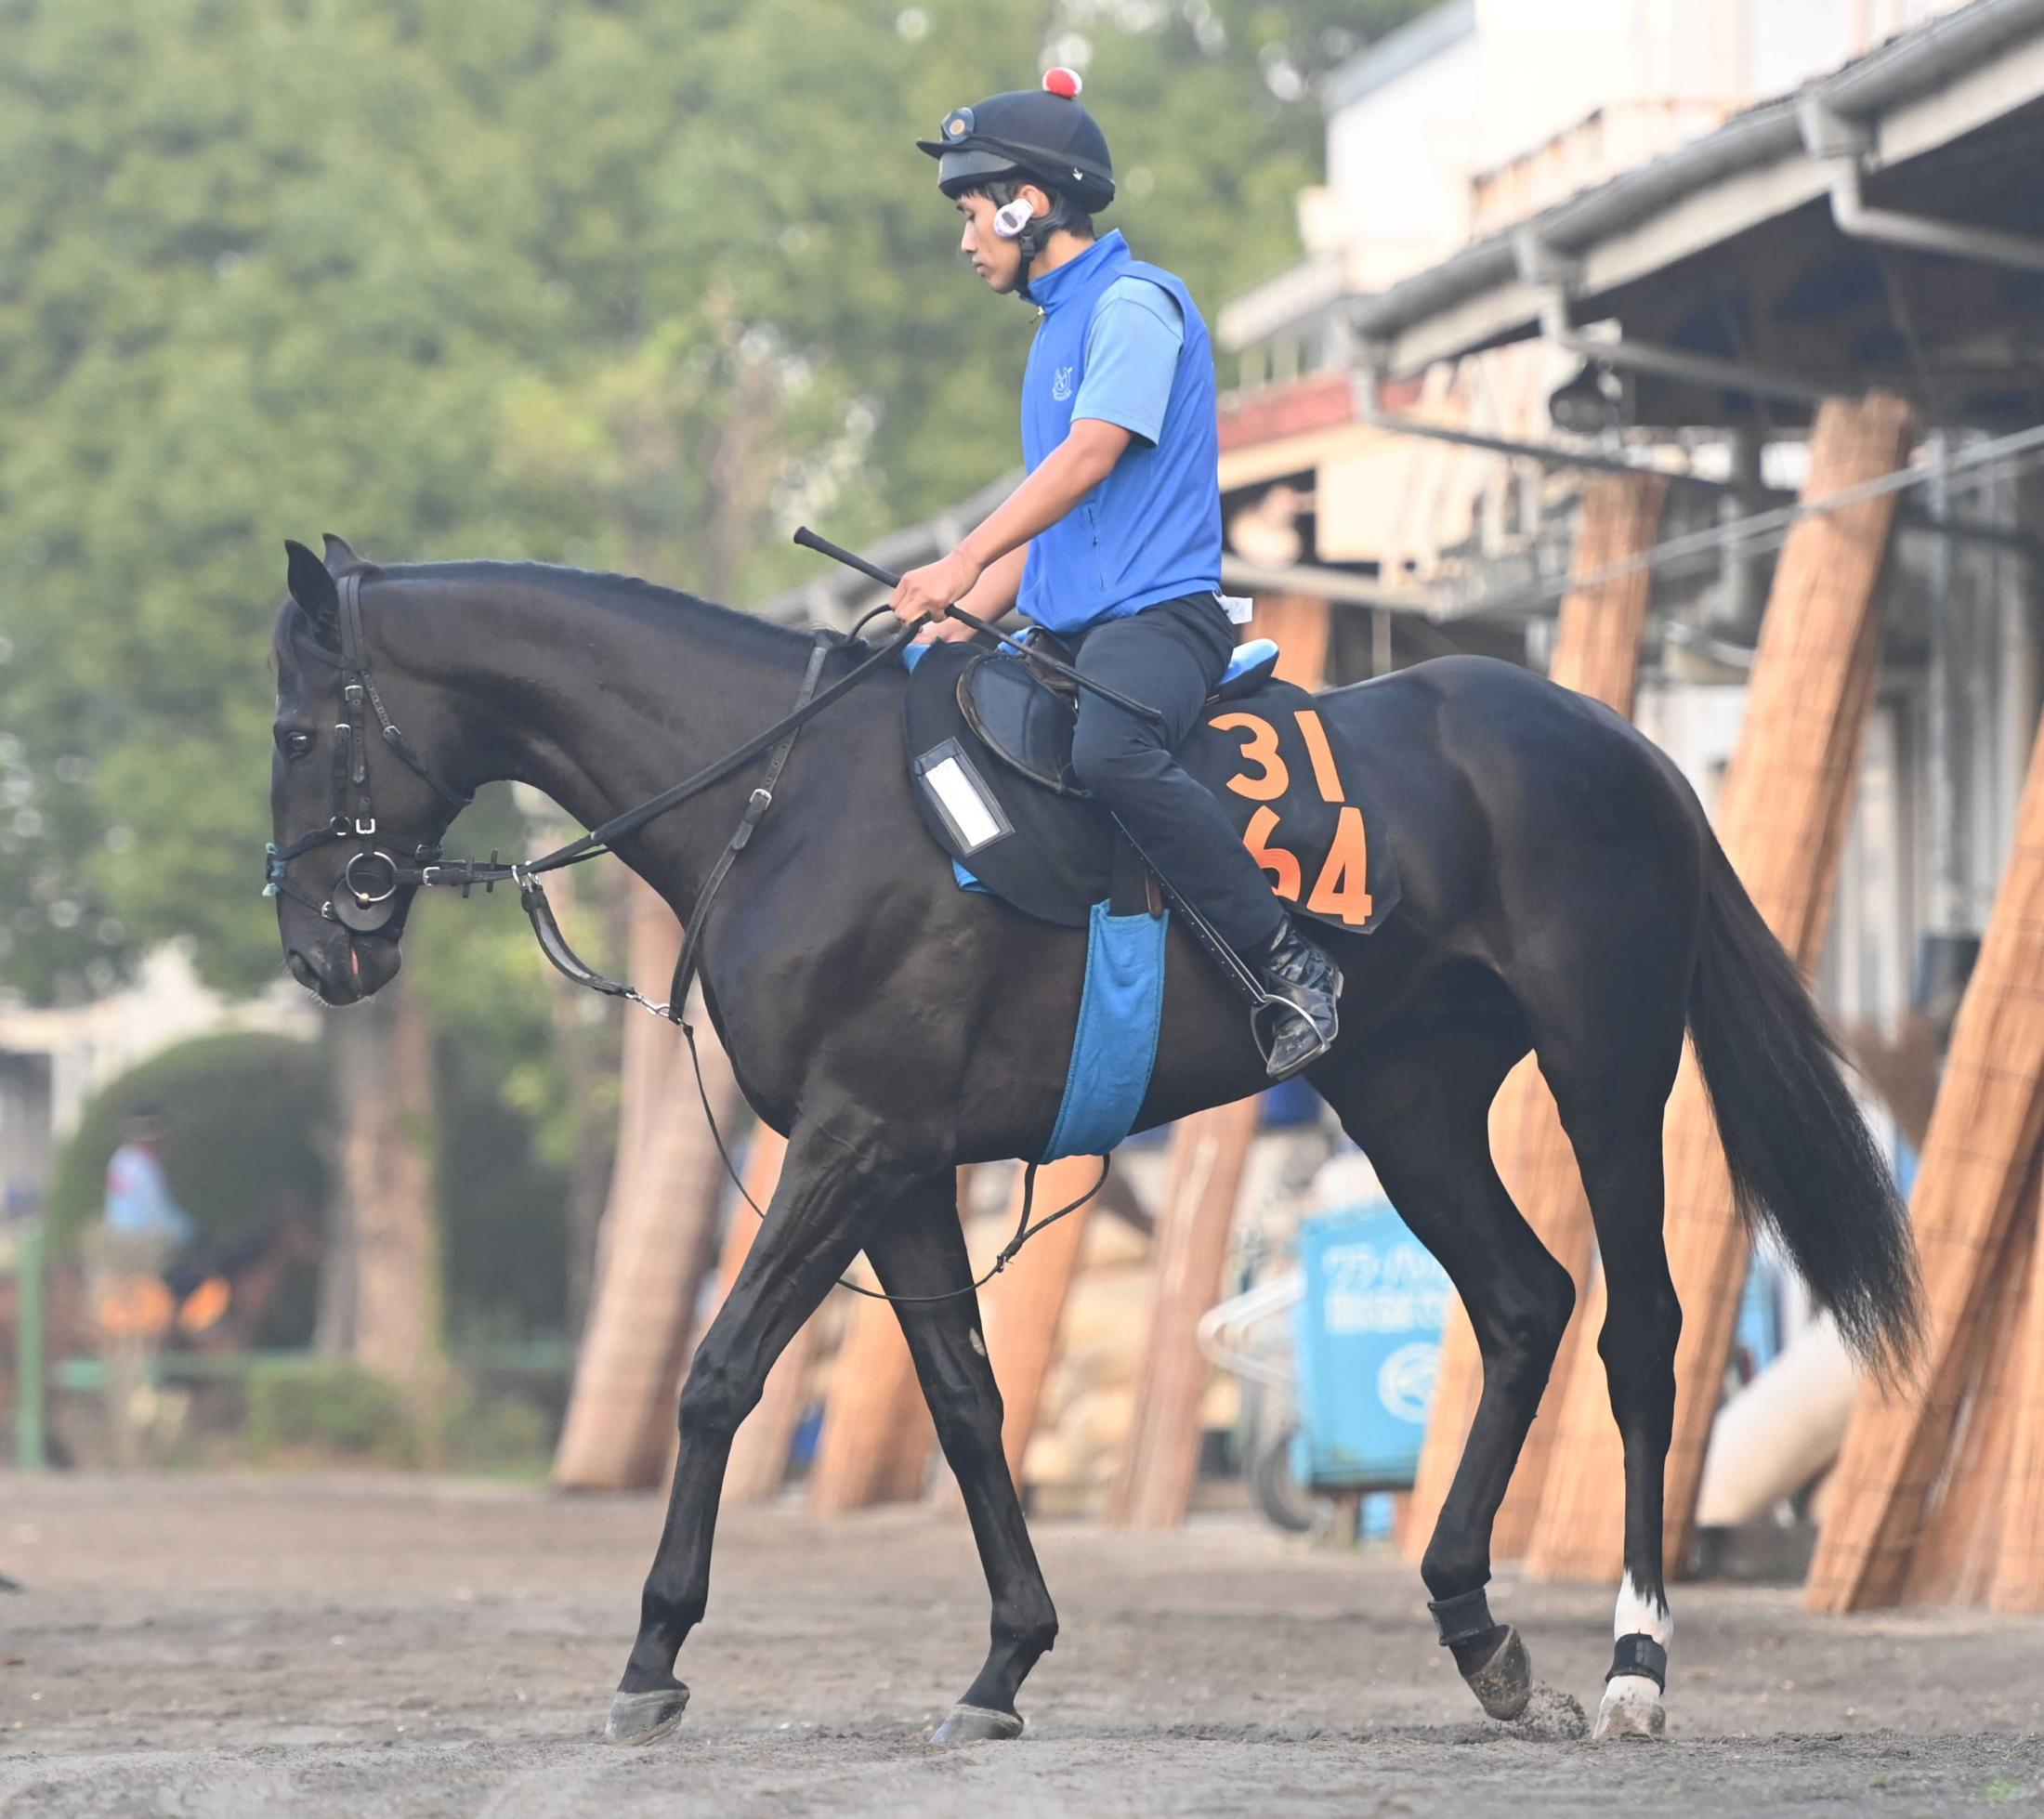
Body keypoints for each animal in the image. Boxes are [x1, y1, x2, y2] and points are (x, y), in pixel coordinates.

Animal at [268, 535, 1913, 1741]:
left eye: (296, 728)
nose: (317, 946)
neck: (788, 794)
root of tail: (1618, 738)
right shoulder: (899, 1162)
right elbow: (965, 1401)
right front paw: (1006, 1659)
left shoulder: (850, 1143)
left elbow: (722, 1373)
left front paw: (654, 1652)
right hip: (1409, 1098)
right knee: (1523, 1303)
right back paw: (1480, 1632)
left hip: (1606, 1068)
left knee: (1638, 1331)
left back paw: (1635, 1658)